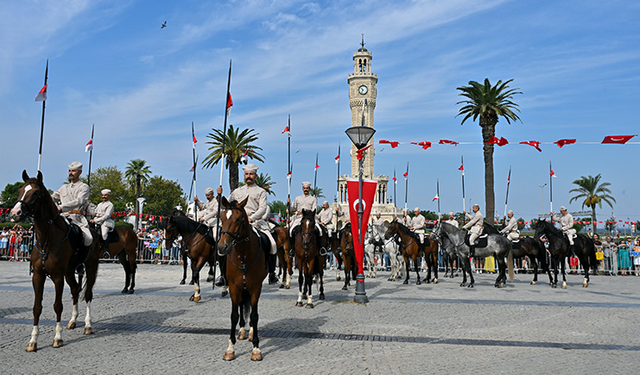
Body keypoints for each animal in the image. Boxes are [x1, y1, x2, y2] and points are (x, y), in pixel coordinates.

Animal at [10, 172, 100, 354]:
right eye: (21, 190)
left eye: (35, 193)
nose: (15, 212)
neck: (47, 238)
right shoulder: (38, 276)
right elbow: (37, 307)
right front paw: (33, 341)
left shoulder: (58, 276)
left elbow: (58, 305)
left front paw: (57, 338)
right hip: (70, 272)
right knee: (75, 290)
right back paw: (73, 321)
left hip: (90, 267)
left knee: (87, 294)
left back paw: (88, 325)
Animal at [216, 197, 266, 362]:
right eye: (222, 217)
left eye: (238, 219)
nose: (222, 247)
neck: (243, 255)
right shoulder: (233, 287)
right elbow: (234, 315)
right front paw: (230, 349)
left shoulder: (255, 287)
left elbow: (254, 316)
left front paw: (256, 348)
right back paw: (242, 331)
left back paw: (249, 333)